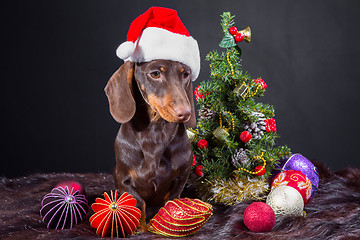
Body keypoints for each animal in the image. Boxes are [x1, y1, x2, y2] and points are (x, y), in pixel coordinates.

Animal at [104, 59, 197, 230]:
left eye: (186, 74)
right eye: (155, 74)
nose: (186, 113)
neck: (155, 134)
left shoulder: (182, 177)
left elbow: (171, 200)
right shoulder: (122, 179)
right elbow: (138, 201)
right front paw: (139, 228)